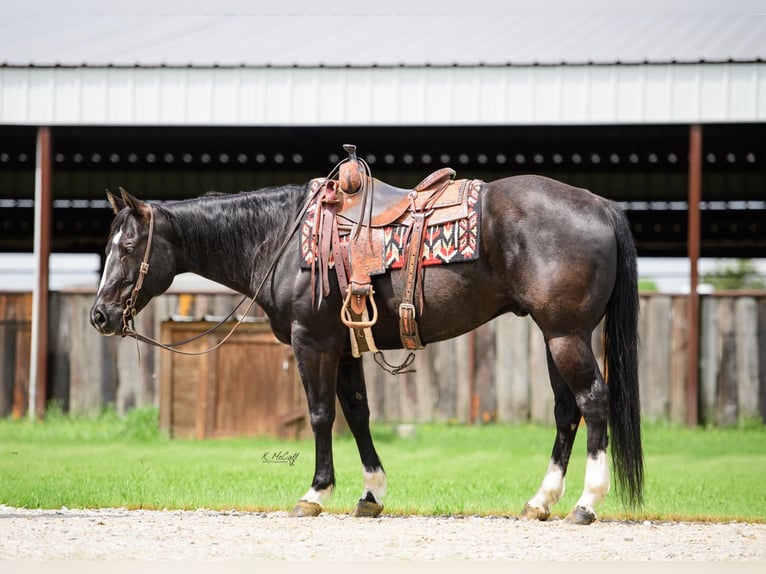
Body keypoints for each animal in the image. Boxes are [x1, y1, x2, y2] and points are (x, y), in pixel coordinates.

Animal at [90, 168, 644, 528]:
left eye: (128, 247)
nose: (100, 315)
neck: (279, 237)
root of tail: (600, 205)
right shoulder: (344, 346)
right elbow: (357, 414)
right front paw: (371, 492)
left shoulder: (311, 341)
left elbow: (319, 415)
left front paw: (315, 492)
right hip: (556, 336)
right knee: (567, 412)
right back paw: (541, 501)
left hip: (566, 335)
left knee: (593, 402)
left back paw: (587, 503)